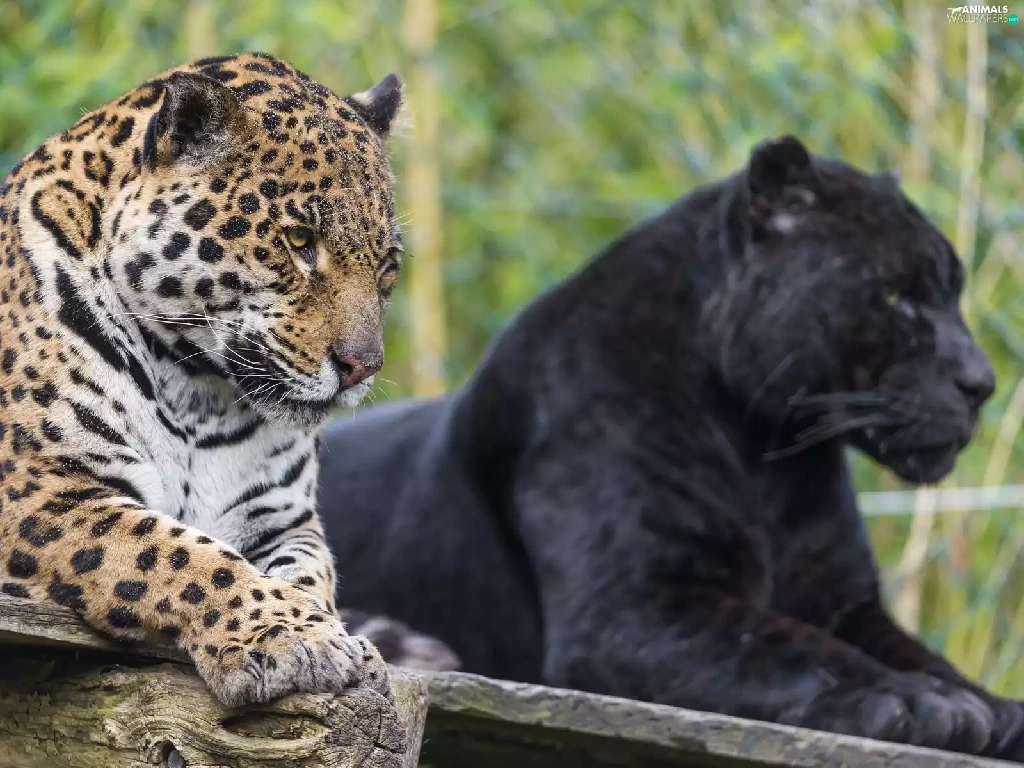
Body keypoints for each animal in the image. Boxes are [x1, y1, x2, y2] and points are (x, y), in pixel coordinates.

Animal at [0, 51, 455, 709]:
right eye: (299, 241)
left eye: (387, 265)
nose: (363, 367)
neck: (197, 391)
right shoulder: (38, 486)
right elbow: (176, 553)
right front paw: (292, 635)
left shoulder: (282, 518)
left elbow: (310, 572)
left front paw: (332, 632)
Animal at [316, 136, 1024, 759]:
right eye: (897, 297)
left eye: (953, 294)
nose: (982, 383)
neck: (766, 450)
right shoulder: (637, 608)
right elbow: (793, 650)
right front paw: (921, 704)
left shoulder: (845, 603)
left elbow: (915, 654)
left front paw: (991, 707)